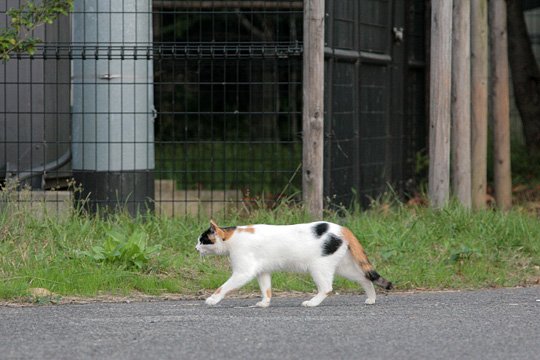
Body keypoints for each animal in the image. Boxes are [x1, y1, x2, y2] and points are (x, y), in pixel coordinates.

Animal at [196, 219, 390, 306]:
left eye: (202, 240)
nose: (196, 248)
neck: (232, 238)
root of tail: (342, 228)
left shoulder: (243, 272)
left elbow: (223, 287)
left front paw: (212, 299)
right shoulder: (262, 271)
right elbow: (266, 289)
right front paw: (264, 303)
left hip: (319, 267)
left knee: (327, 288)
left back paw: (312, 303)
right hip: (345, 267)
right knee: (365, 278)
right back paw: (371, 299)